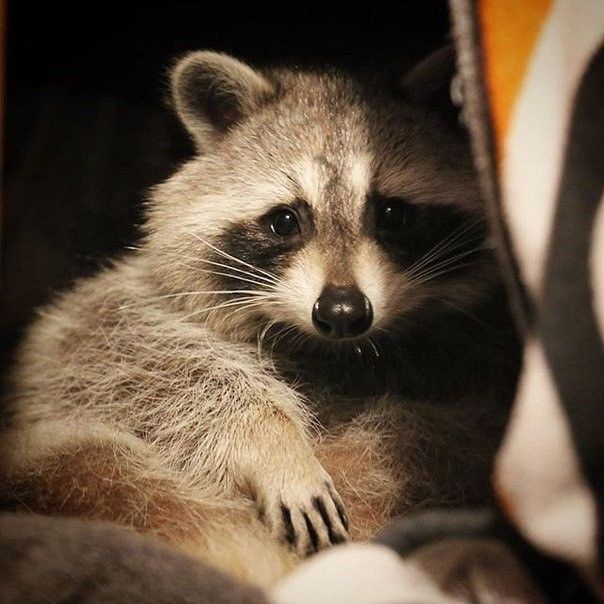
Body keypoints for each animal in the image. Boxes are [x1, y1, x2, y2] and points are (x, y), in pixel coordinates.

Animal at [0, 49, 520, 588]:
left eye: (393, 214)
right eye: (285, 221)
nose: (342, 312)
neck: (332, 350)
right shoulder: (118, 312)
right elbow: (102, 344)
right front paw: (269, 438)